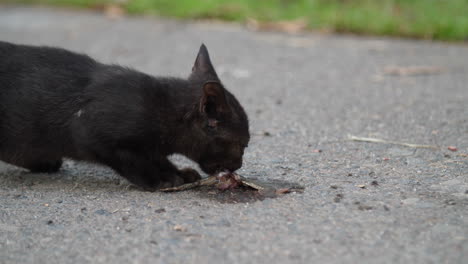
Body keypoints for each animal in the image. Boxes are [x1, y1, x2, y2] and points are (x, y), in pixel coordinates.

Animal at [0, 40, 250, 190]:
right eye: (243, 144)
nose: (238, 165)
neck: (162, 108)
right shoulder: (89, 133)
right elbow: (132, 160)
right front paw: (160, 179)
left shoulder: (151, 147)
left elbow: (156, 156)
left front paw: (177, 172)